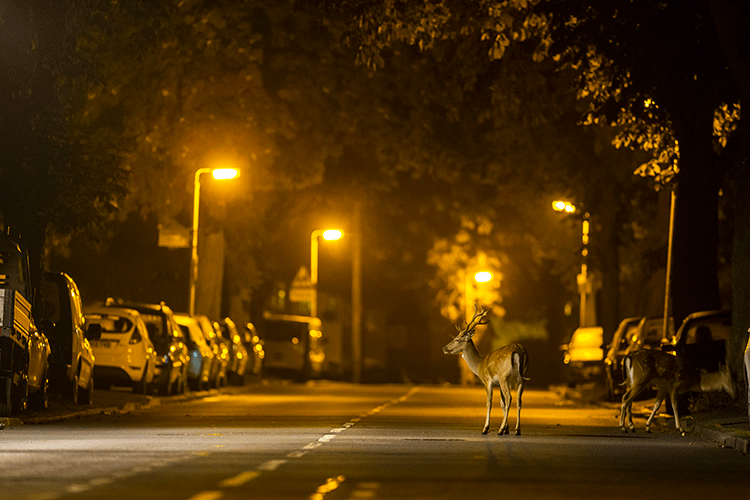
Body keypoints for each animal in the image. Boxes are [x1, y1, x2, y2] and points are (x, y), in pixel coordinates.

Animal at [444, 302, 532, 436]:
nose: (444, 348)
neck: (479, 364)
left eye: (457, 339)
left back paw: (500, 430)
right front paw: (506, 429)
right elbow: (502, 403)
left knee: (510, 397)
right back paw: (517, 430)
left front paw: (486, 428)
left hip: (504, 375)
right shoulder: (499, 384)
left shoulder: (487, 380)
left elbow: (489, 403)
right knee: (518, 400)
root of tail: (518, 351)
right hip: (522, 378)